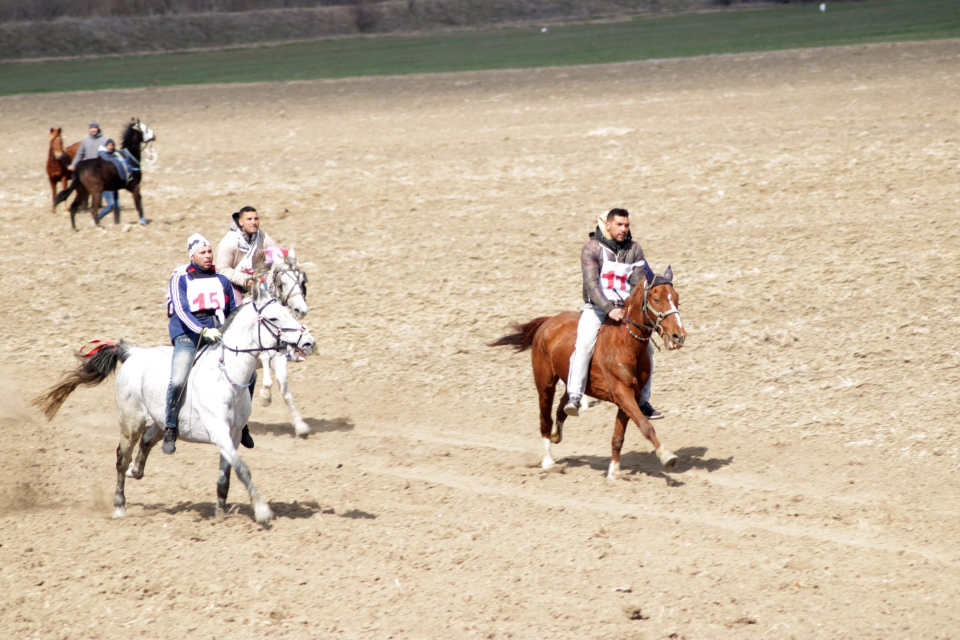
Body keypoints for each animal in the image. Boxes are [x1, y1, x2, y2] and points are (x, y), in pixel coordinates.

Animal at [256, 248, 314, 438]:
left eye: (302, 281)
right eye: (283, 282)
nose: (301, 310)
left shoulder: (279, 359)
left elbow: (286, 392)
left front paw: (300, 426)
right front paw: (265, 398)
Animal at [492, 266, 688, 480]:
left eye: (677, 298)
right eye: (656, 299)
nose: (679, 336)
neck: (626, 344)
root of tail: (548, 321)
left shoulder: (631, 396)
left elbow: (618, 436)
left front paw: (614, 472)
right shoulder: (622, 392)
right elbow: (646, 426)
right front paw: (666, 456)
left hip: (572, 383)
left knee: (562, 407)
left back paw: (559, 431)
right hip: (545, 384)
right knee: (545, 419)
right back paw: (548, 462)